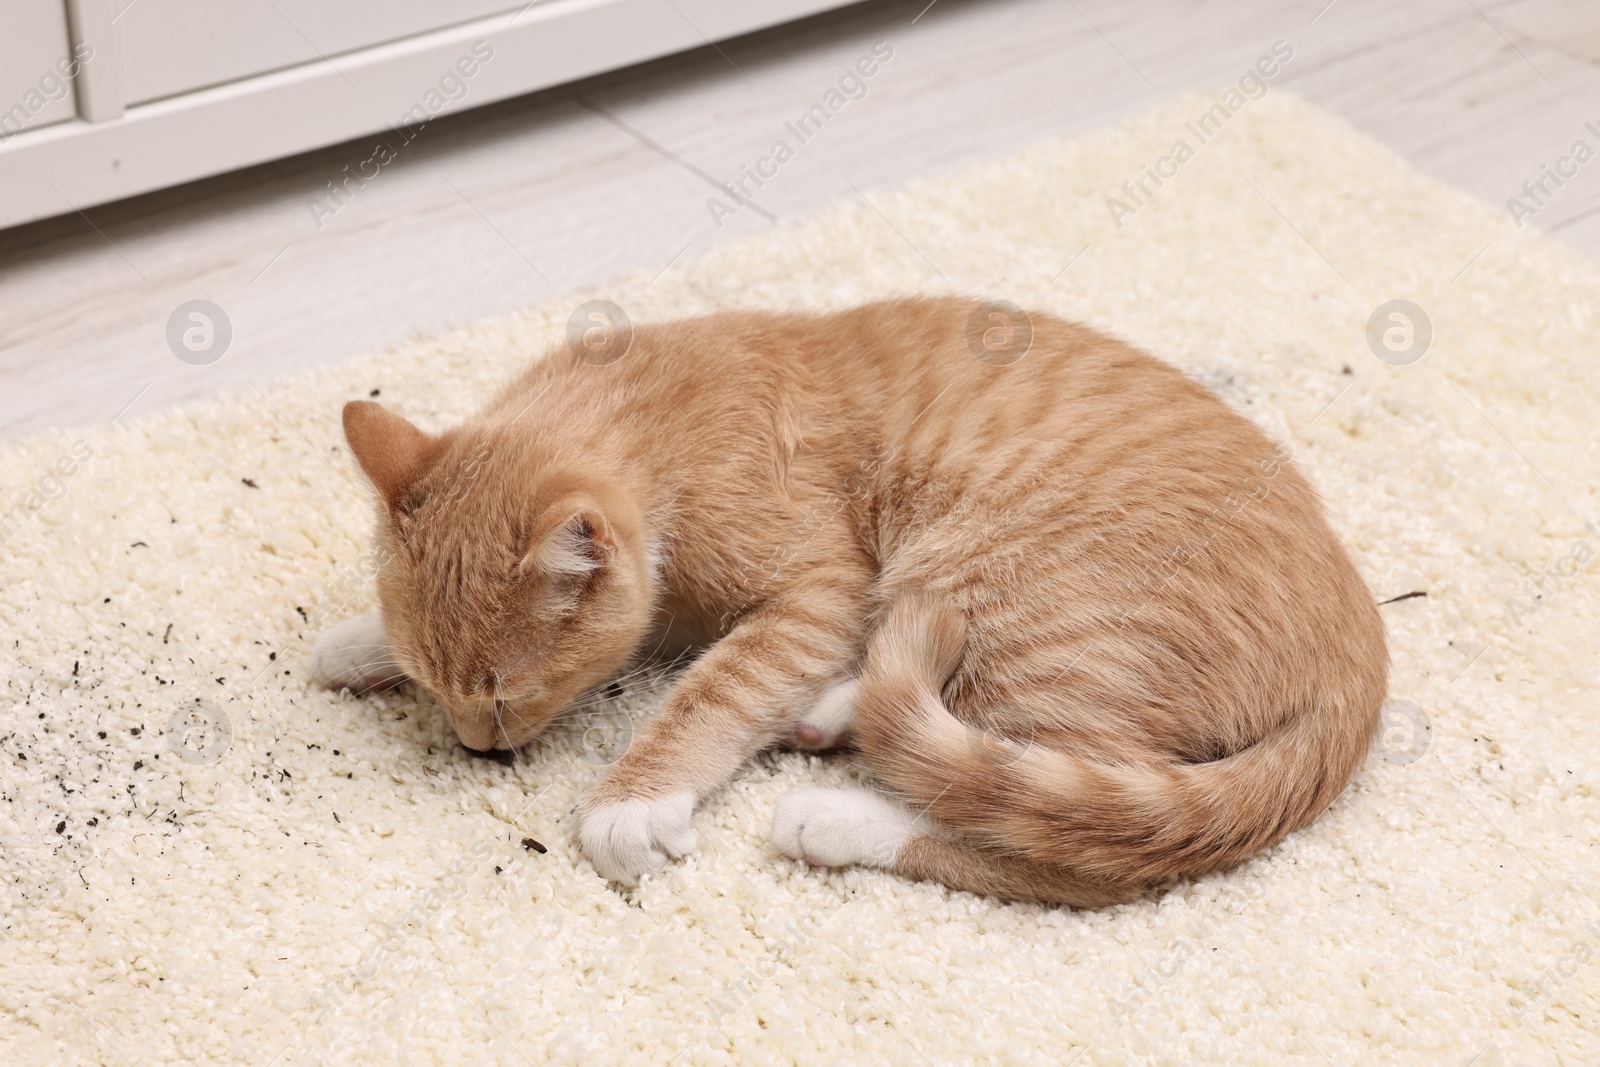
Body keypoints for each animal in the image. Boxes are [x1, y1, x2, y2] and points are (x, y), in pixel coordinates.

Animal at [312, 295, 1388, 908]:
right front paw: (358, 641)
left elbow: (715, 689)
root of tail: (1359, 663)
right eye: (439, 690)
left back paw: (832, 816)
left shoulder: (819, 590)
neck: (661, 405)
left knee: (1069, 848)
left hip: (1010, 603)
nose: (475, 749)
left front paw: (631, 797)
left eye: (504, 698)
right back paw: (834, 715)